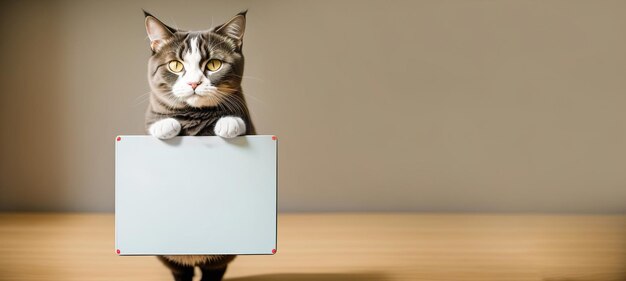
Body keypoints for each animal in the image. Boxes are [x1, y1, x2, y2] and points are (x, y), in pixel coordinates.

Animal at [143, 10, 254, 280]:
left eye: (213, 64)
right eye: (175, 65)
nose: (194, 83)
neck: (195, 117)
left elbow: (238, 121)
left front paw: (229, 123)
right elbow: (155, 123)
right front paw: (165, 125)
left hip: (219, 258)